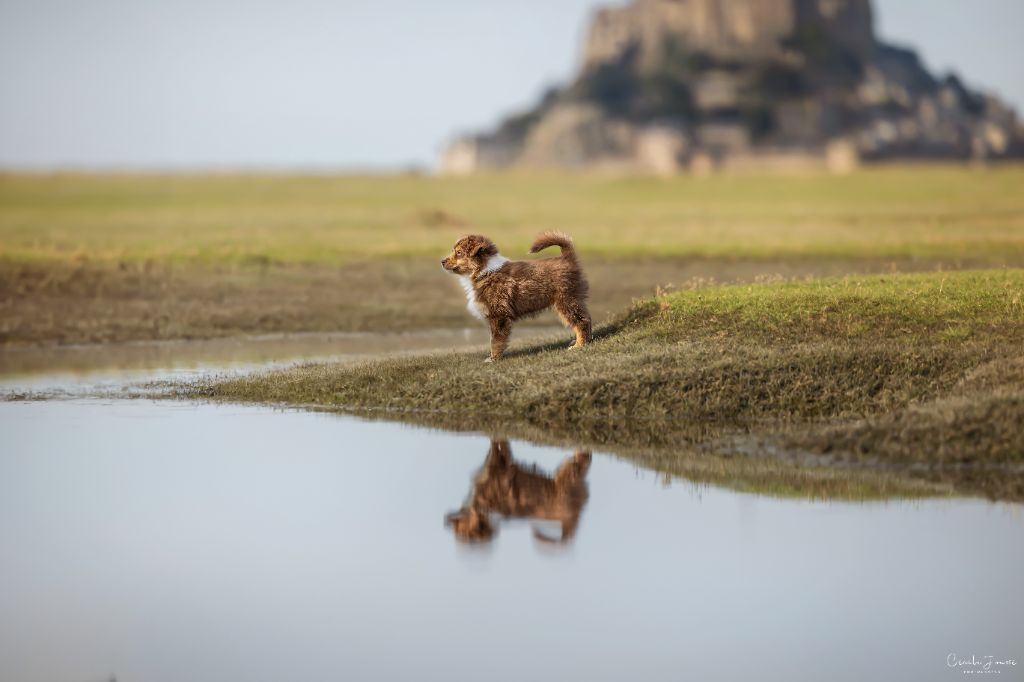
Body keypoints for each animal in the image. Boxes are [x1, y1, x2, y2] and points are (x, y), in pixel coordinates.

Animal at [440, 229, 593, 360]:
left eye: (459, 253)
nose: (442, 261)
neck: (484, 271)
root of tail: (567, 258)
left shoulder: (498, 315)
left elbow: (496, 340)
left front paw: (493, 359)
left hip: (566, 300)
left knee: (581, 321)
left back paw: (579, 344)